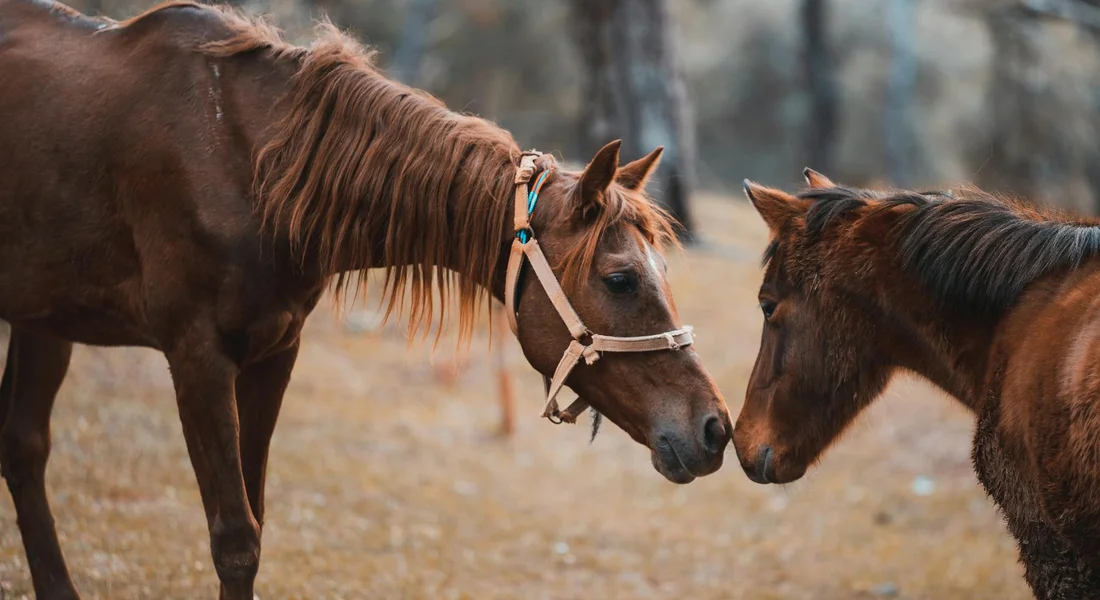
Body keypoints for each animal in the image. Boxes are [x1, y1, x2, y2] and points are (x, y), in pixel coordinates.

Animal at [0, 1, 732, 597]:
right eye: (620, 279)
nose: (714, 428)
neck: (248, 164)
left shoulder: (273, 355)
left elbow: (255, 521)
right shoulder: (198, 359)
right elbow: (234, 540)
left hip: (45, 320)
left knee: (24, 447)